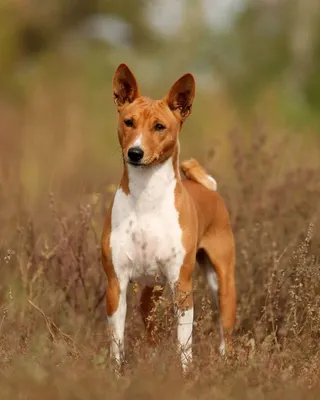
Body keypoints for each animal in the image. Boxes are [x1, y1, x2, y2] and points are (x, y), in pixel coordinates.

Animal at [101, 63, 236, 376]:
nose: (135, 152)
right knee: (149, 326)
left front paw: (185, 376)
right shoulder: (116, 283)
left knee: (226, 332)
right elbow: (117, 341)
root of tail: (207, 189)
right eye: (128, 122)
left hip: (222, 283)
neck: (146, 202)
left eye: (159, 126)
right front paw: (116, 375)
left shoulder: (181, 285)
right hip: (150, 289)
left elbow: (184, 344)